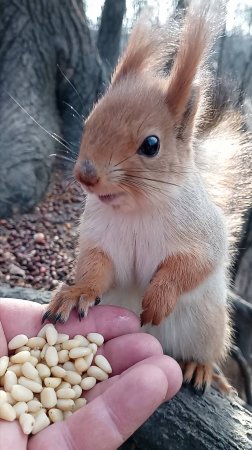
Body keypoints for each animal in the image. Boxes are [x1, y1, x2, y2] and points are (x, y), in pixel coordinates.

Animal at [43, 1, 252, 392]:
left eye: (151, 145)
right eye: (89, 121)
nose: (86, 175)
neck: (137, 208)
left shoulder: (203, 234)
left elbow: (193, 265)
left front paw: (158, 297)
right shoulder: (101, 237)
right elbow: (97, 265)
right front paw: (78, 291)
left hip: (208, 327)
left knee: (205, 351)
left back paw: (202, 368)